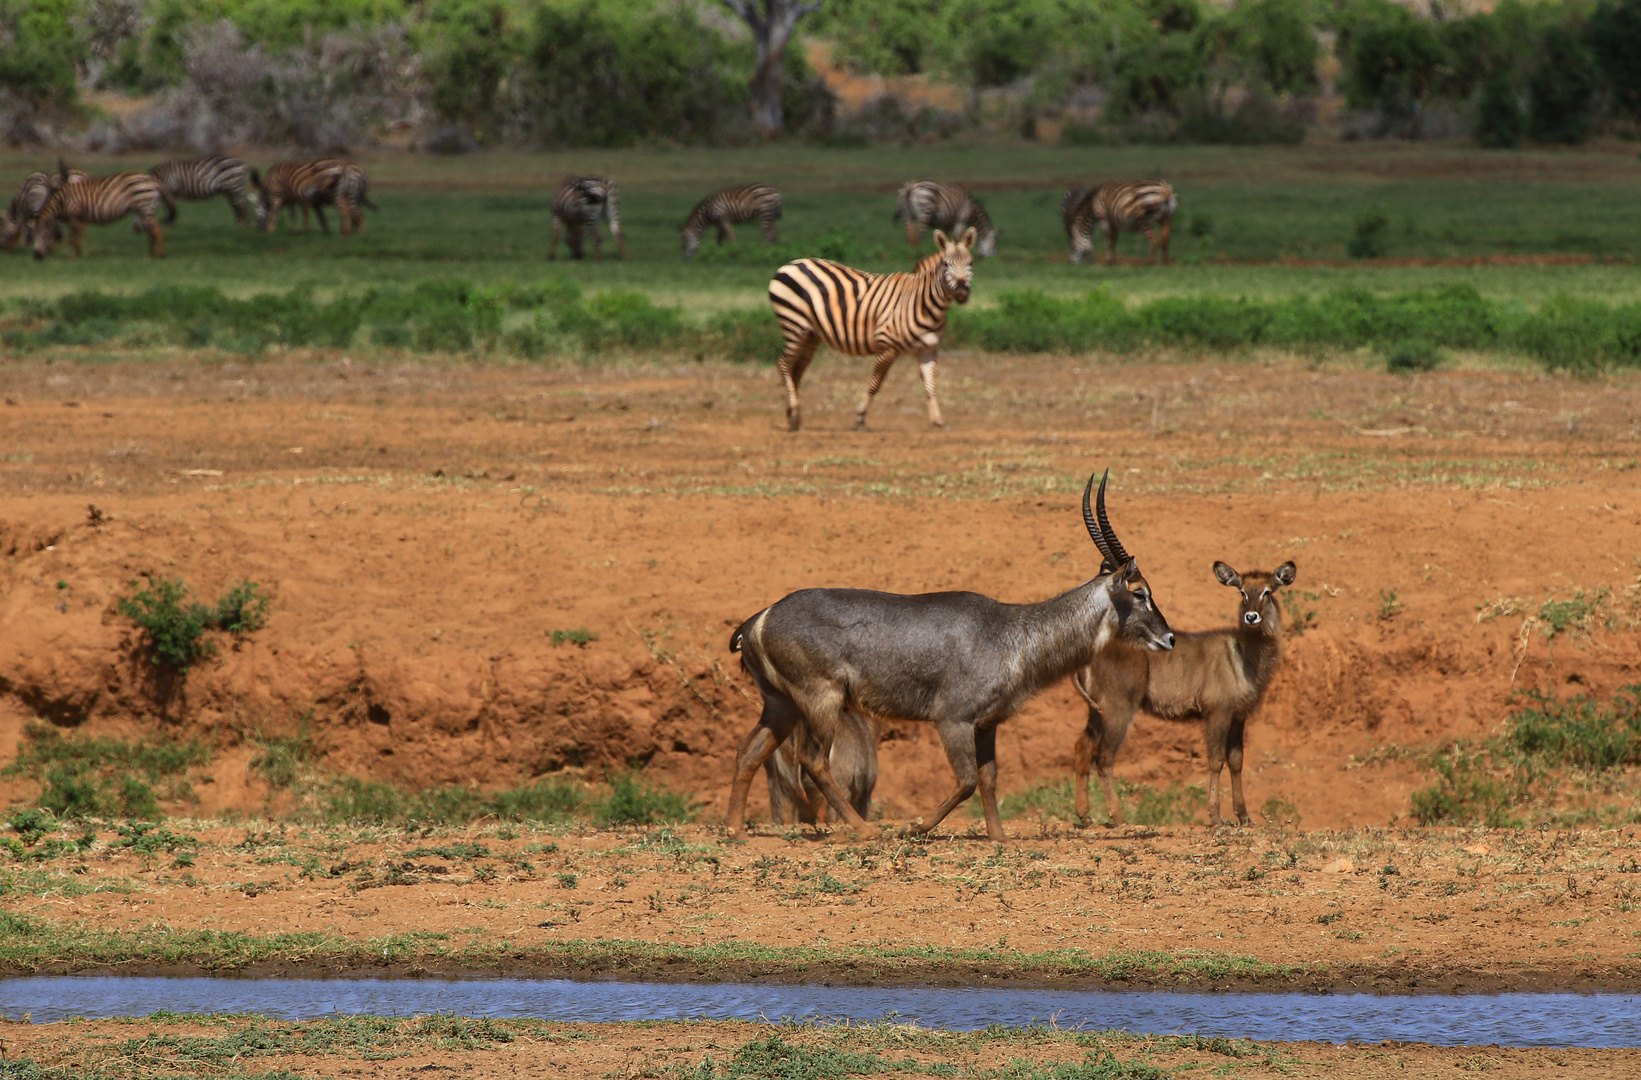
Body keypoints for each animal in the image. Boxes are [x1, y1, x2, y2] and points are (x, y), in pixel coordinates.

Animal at [31, 170, 171, 259]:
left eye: (43, 235)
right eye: (34, 236)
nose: (36, 257)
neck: (61, 202)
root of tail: (153, 180)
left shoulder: (75, 215)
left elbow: (74, 237)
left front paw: (73, 256)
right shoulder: (78, 218)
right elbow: (76, 236)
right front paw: (78, 254)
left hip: (144, 207)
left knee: (157, 230)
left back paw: (160, 255)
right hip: (143, 210)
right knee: (151, 231)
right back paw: (150, 255)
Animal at [764, 226, 971, 430]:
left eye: (970, 263)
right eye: (946, 264)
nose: (962, 291)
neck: (922, 303)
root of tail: (789, 264)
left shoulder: (928, 350)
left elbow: (931, 385)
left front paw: (938, 421)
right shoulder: (887, 347)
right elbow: (875, 384)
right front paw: (860, 418)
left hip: (810, 335)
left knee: (795, 370)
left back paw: (793, 416)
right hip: (794, 324)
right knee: (783, 364)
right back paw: (794, 413)